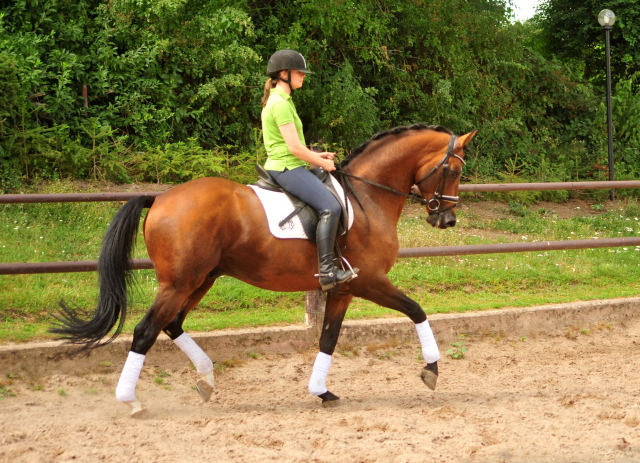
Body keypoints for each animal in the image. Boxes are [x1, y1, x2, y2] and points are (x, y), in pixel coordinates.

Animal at [53, 123, 476, 416]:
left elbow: (328, 339)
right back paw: (132, 401)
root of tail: (159, 199)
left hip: (199, 280)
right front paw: (432, 369)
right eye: (454, 171)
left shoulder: (343, 290)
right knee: (145, 331)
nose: (447, 220)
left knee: (171, 325)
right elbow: (417, 310)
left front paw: (322, 392)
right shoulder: (369, 281)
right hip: (179, 283)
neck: (367, 196)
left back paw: (206, 380)